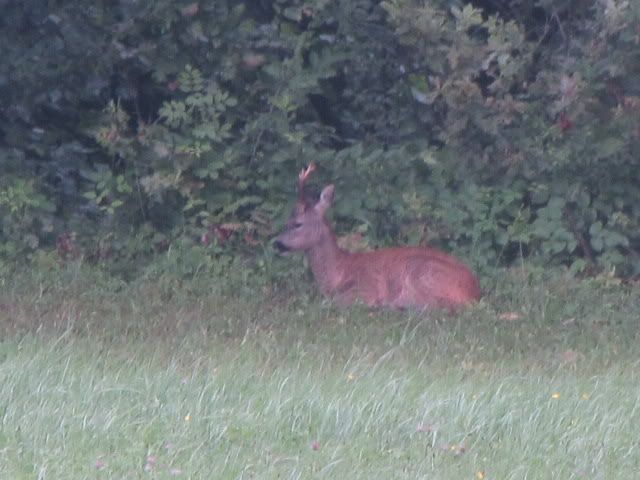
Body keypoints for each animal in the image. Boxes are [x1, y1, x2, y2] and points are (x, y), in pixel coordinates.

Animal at [274, 165, 480, 312]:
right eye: (286, 221)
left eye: (298, 223)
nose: (277, 243)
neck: (336, 273)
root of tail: (474, 291)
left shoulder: (365, 289)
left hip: (421, 271)